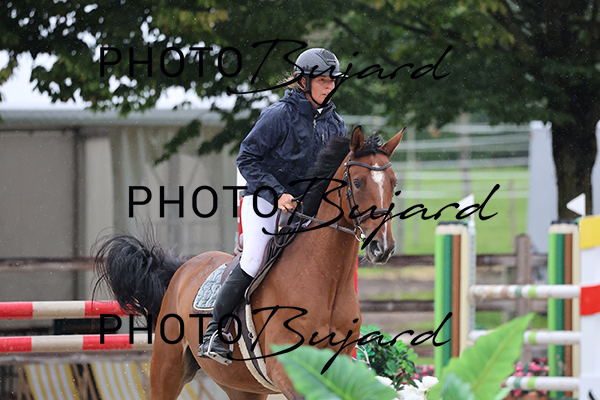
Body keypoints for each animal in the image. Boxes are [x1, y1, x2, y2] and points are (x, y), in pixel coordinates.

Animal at [94, 125, 404, 400]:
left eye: (393, 183)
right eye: (357, 182)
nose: (382, 247)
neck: (326, 282)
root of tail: (183, 270)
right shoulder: (285, 368)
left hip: (243, 388)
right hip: (167, 370)